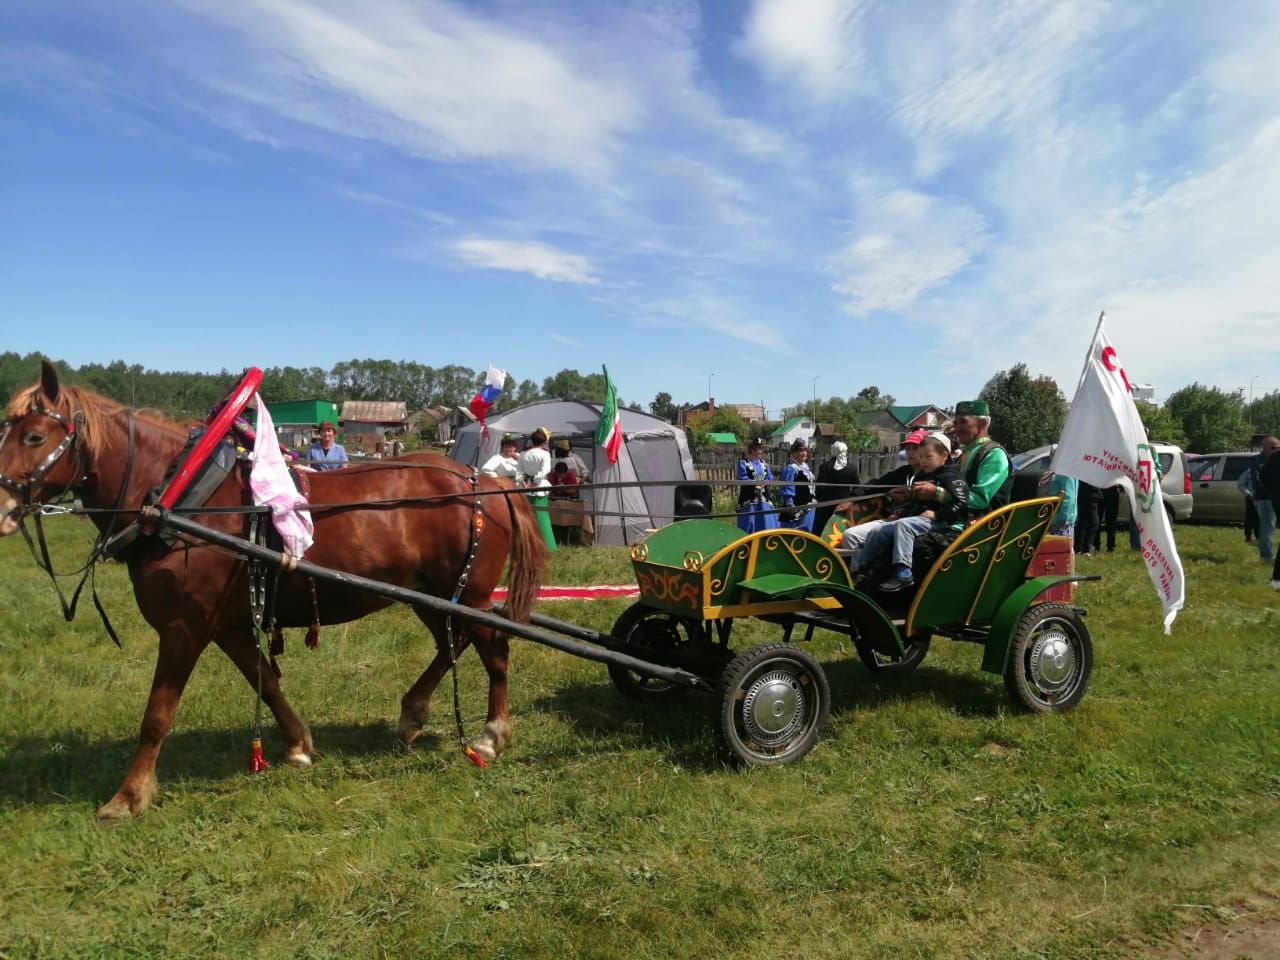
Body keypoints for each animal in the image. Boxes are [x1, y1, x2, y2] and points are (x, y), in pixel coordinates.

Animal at [0, 363, 542, 824]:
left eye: (34, 436)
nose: (1, 507)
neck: (184, 500)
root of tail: (485, 480)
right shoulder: (230, 626)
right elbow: (265, 680)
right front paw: (298, 744)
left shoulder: (184, 628)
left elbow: (157, 714)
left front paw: (128, 796)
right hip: (428, 594)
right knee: (453, 644)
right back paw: (412, 714)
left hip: (468, 594)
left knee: (493, 649)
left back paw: (491, 735)